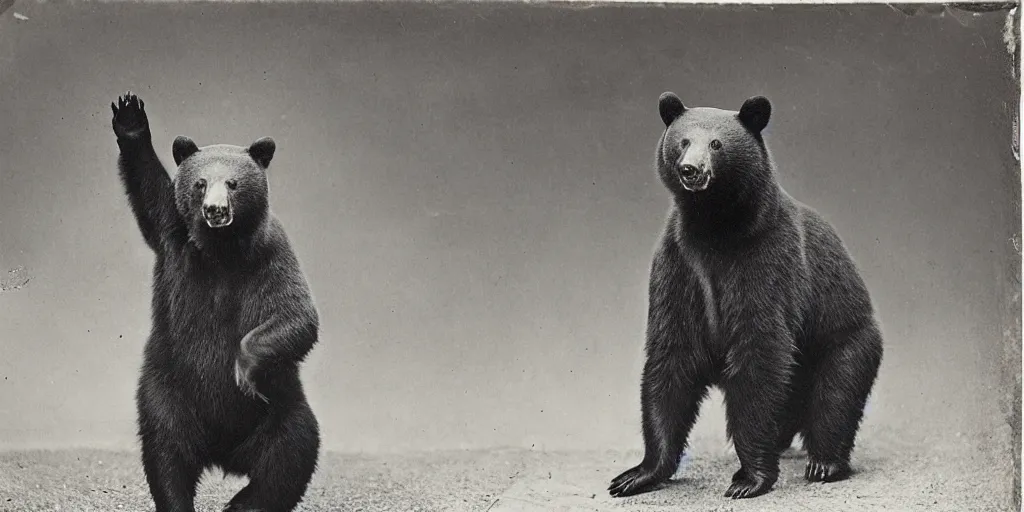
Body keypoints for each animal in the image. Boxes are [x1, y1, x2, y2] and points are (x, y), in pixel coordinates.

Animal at [110, 93, 321, 512]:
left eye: (234, 183)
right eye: (200, 182)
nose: (215, 210)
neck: (222, 250)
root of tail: (226, 455)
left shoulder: (272, 253)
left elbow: (297, 314)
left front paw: (243, 370)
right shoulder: (175, 237)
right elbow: (151, 193)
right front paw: (131, 120)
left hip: (283, 406)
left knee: (291, 453)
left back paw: (245, 503)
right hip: (167, 392)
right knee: (165, 452)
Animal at [606, 93, 880, 499]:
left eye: (717, 144)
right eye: (683, 141)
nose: (690, 170)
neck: (713, 228)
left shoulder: (766, 259)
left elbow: (759, 351)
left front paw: (749, 478)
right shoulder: (679, 265)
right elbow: (670, 355)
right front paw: (637, 474)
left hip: (844, 334)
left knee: (836, 395)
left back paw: (824, 461)